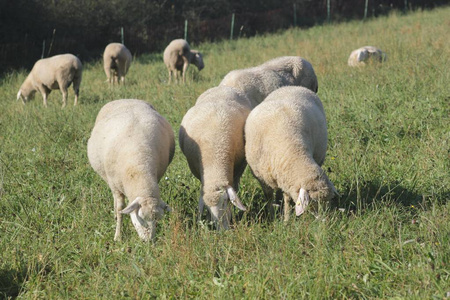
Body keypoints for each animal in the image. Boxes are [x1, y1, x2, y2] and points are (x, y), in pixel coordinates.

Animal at [87, 99, 175, 241]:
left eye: (157, 220)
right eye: (141, 218)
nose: (149, 241)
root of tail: (126, 99)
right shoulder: (115, 185)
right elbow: (120, 208)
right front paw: (118, 236)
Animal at [246, 85, 338, 221]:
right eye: (314, 201)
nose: (325, 220)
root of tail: (294, 87)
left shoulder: (287, 177)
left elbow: (287, 199)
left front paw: (286, 218)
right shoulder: (263, 178)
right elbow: (269, 198)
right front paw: (273, 217)